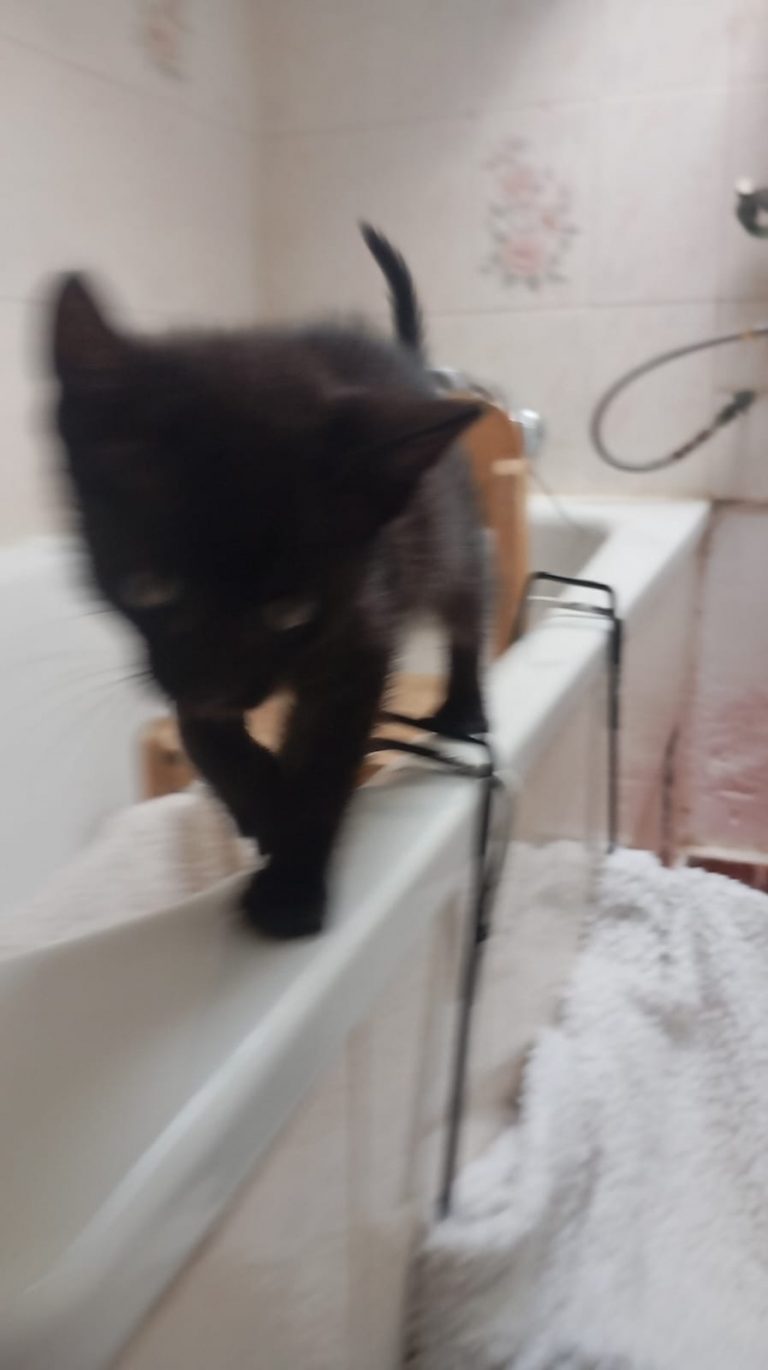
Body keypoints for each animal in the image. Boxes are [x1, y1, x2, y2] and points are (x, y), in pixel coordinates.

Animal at [49, 225, 488, 939]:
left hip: (453, 541)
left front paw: (291, 883)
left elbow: (324, 761)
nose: (218, 684)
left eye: (291, 609)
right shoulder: (173, 662)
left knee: (468, 609)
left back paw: (465, 706)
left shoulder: (361, 634)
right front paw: (258, 797)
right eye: (150, 586)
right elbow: (202, 732)